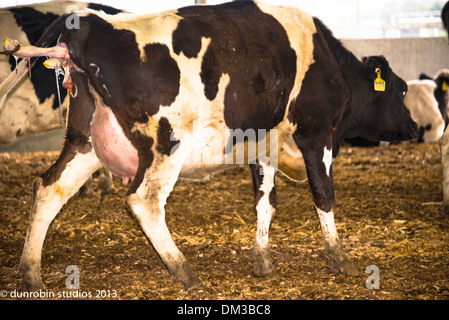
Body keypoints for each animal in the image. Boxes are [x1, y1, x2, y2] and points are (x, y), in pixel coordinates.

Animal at [7, 0, 414, 290]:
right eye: (402, 89)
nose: (413, 127)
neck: (330, 64)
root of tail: (85, 22)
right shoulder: (317, 136)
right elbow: (323, 195)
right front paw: (339, 258)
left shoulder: (263, 147)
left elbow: (265, 203)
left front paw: (262, 260)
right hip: (166, 143)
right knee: (144, 201)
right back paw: (184, 271)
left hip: (86, 142)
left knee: (49, 189)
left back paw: (31, 274)